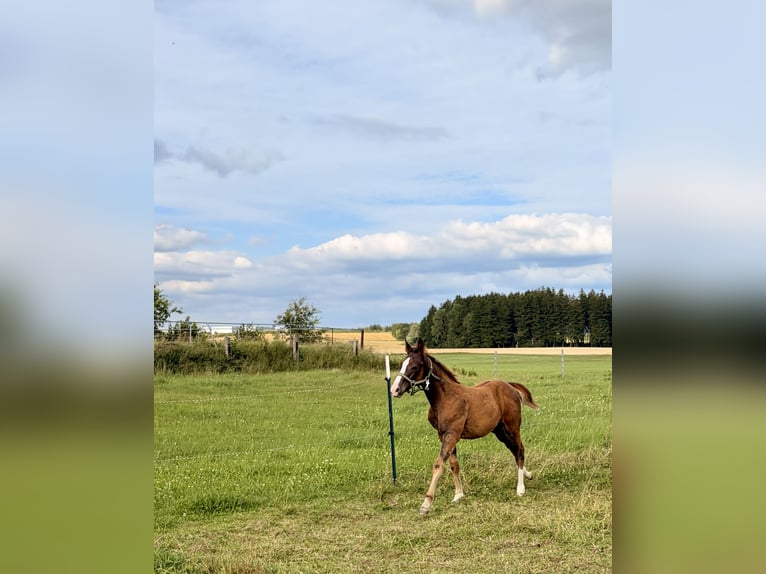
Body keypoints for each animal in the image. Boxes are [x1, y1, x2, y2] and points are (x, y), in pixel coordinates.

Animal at [390, 338, 538, 515]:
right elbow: (454, 465)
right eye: (401, 364)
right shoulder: (444, 435)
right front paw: (458, 495)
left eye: (415, 366)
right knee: (514, 449)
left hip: (512, 427)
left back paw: (520, 488)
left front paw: (426, 504)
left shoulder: (452, 434)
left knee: (520, 449)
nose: (394, 389)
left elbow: (439, 465)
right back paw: (528, 474)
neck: (445, 398)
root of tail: (510, 386)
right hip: (499, 430)